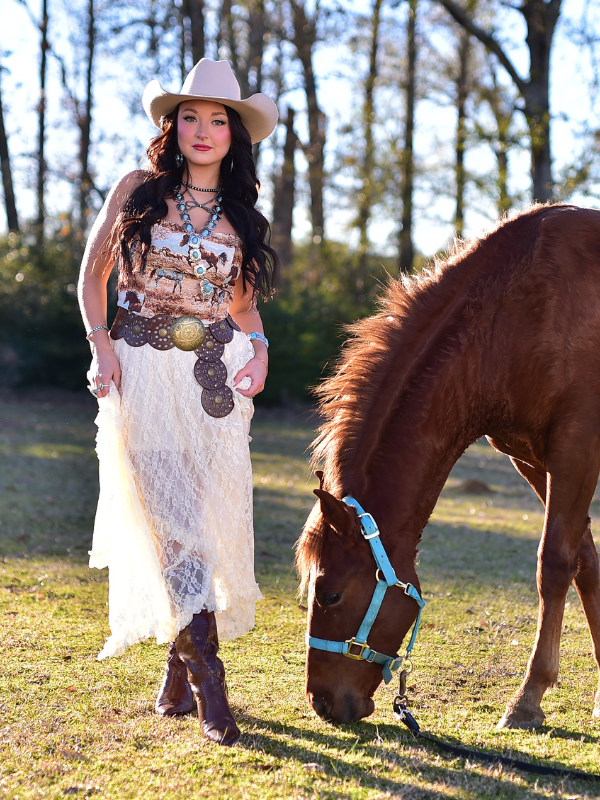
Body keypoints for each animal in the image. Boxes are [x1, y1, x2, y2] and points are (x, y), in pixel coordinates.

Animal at [298, 206, 600, 732]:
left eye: (330, 595)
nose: (322, 703)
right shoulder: (533, 458)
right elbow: (587, 564)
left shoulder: (576, 449)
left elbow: (555, 564)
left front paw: (528, 698)